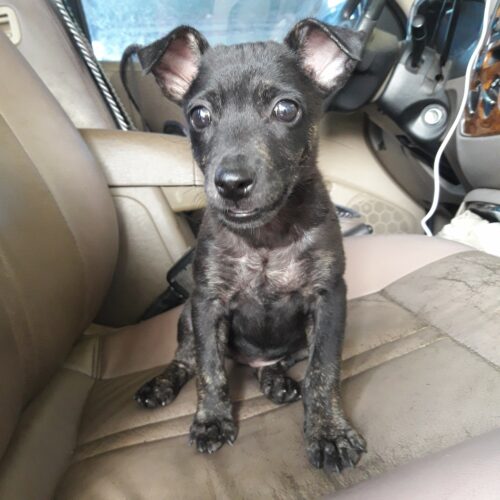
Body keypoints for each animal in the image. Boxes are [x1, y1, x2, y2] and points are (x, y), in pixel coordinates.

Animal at [135, 18, 366, 471]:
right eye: (199, 116)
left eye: (286, 109)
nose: (231, 183)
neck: (265, 238)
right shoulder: (207, 303)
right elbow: (209, 370)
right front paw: (211, 421)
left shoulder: (329, 298)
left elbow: (323, 370)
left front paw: (329, 432)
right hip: (186, 319)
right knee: (186, 359)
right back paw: (161, 385)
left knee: (279, 362)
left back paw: (275, 380)